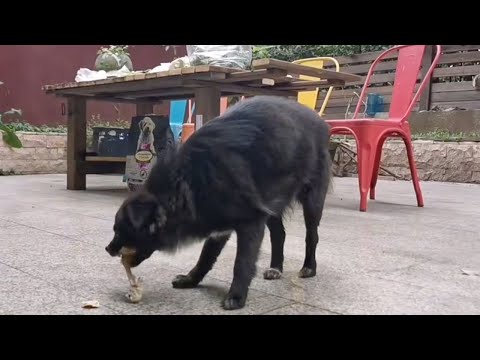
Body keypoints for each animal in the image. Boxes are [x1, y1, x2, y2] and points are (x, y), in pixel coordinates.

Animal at [105, 95, 332, 310]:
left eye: (120, 230)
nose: (107, 249)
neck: (187, 182)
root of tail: (319, 121)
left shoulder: (251, 221)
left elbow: (242, 262)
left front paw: (236, 296)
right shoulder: (218, 222)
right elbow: (205, 257)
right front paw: (191, 280)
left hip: (311, 200)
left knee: (312, 235)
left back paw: (309, 267)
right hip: (272, 201)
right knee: (279, 234)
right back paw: (276, 268)